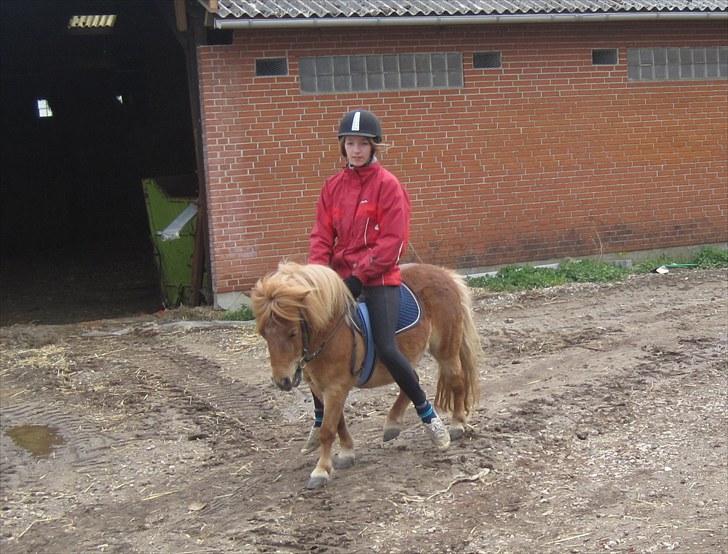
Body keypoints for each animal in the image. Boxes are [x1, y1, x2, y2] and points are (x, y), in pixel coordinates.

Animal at [252, 260, 484, 486]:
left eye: (292, 333)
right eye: (264, 334)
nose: (283, 381)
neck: (330, 332)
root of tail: (445, 274)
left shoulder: (335, 387)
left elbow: (328, 430)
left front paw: (321, 470)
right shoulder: (321, 387)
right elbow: (337, 422)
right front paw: (346, 453)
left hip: (445, 350)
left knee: (456, 381)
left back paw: (455, 425)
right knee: (412, 380)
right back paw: (393, 424)